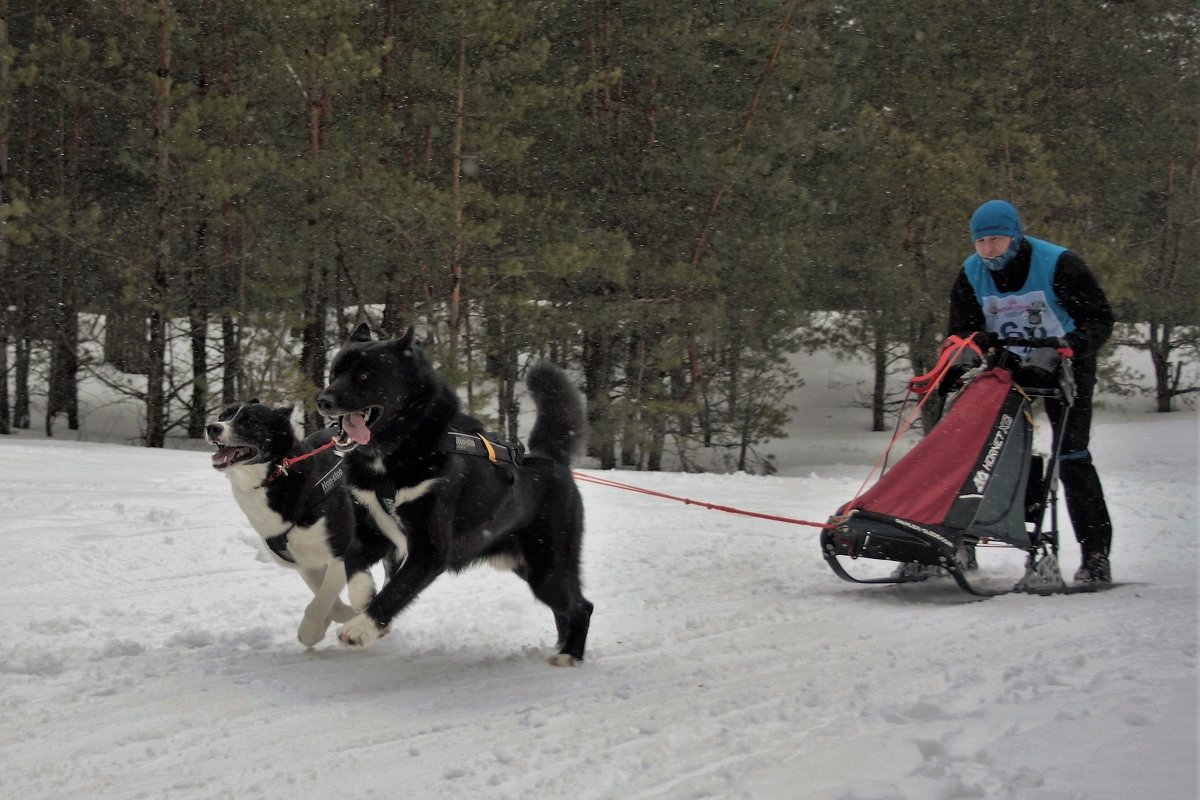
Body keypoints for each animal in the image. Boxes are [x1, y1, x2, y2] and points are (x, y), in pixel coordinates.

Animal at [201, 402, 398, 647]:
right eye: (222, 415)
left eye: (249, 420)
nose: (212, 427)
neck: (279, 474)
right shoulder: (304, 561)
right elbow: (328, 601)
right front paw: (337, 619)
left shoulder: (339, 554)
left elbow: (319, 602)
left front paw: (312, 630)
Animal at [316, 321, 592, 666]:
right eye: (334, 372)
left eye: (365, 375)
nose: (323, 400)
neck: (392, 454)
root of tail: (549, 457)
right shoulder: (373, 534)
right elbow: (353, 559)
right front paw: (363, 594)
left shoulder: (429, 551)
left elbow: (397, 590)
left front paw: (360, 628)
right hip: (532, 568)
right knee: (566, 606)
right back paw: (563, 647)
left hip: (548, 567)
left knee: (581, 606)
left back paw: (570, 655)